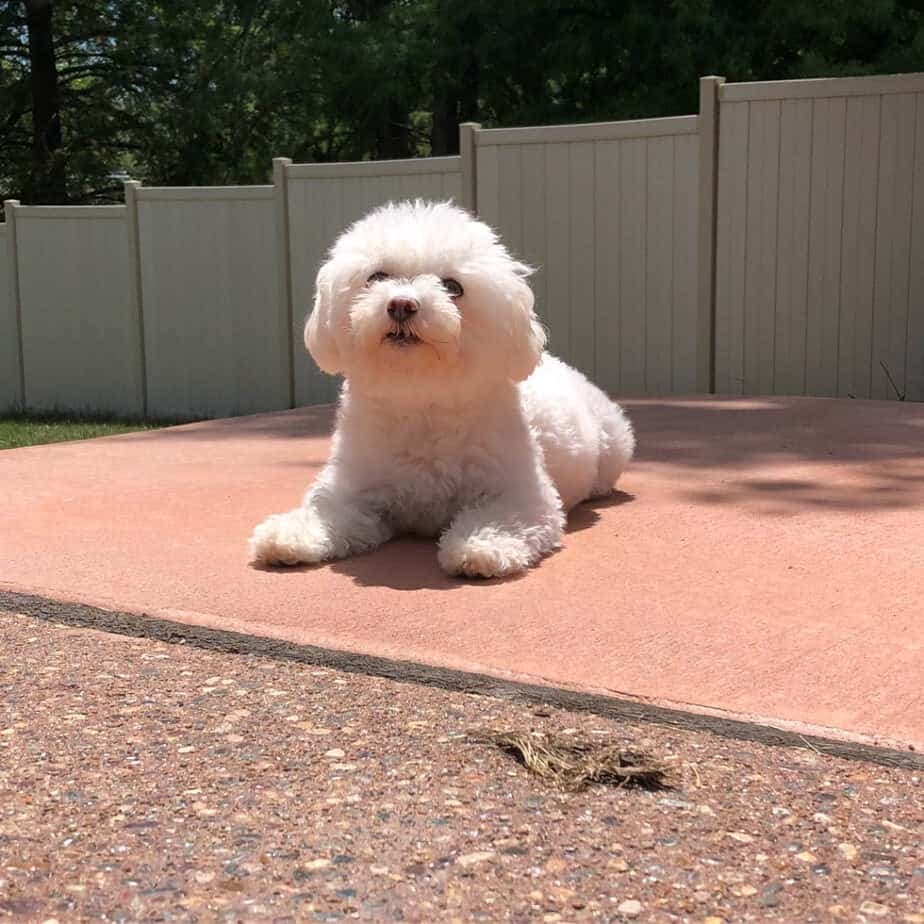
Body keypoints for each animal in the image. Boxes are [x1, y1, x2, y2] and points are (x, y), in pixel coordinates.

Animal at [247, 201, 636, 576]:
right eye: (376, 277)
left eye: (453, 287)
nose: (401, 304)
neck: (421, 396)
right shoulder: (352, 490)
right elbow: (325, 511)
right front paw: (288, 535)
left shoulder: (522, 495)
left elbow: (502, 519)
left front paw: (479, 547)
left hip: (614, 443)